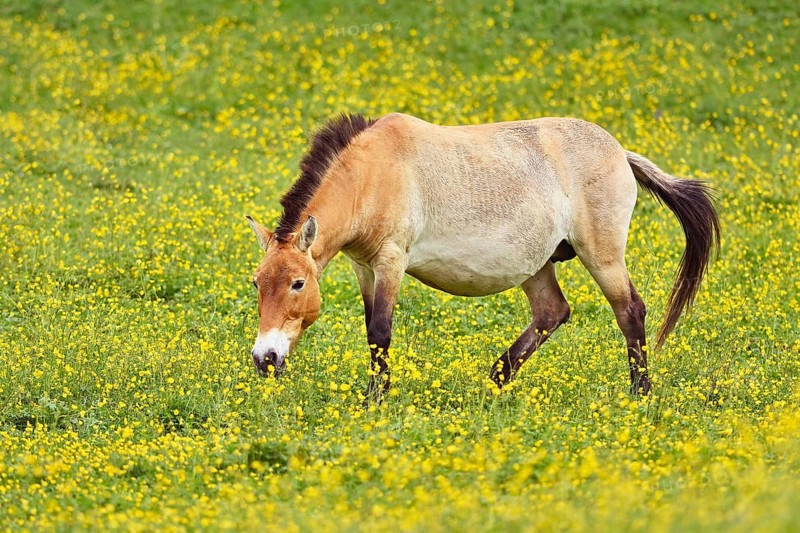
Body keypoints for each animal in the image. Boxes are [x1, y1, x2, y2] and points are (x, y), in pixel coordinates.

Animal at [246, 112, 720, 399]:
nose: (264, 359)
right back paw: (495, 382)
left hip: (602, 256)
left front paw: (375, 401)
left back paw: (640, 393)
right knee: (553, 312)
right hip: (537, 265)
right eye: (257, 283)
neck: (374, 174)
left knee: (629, 311)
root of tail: (620, 151)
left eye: (298, 283)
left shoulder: (391, 261)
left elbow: (380, 331)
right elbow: (370, 331)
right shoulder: (364, 267)